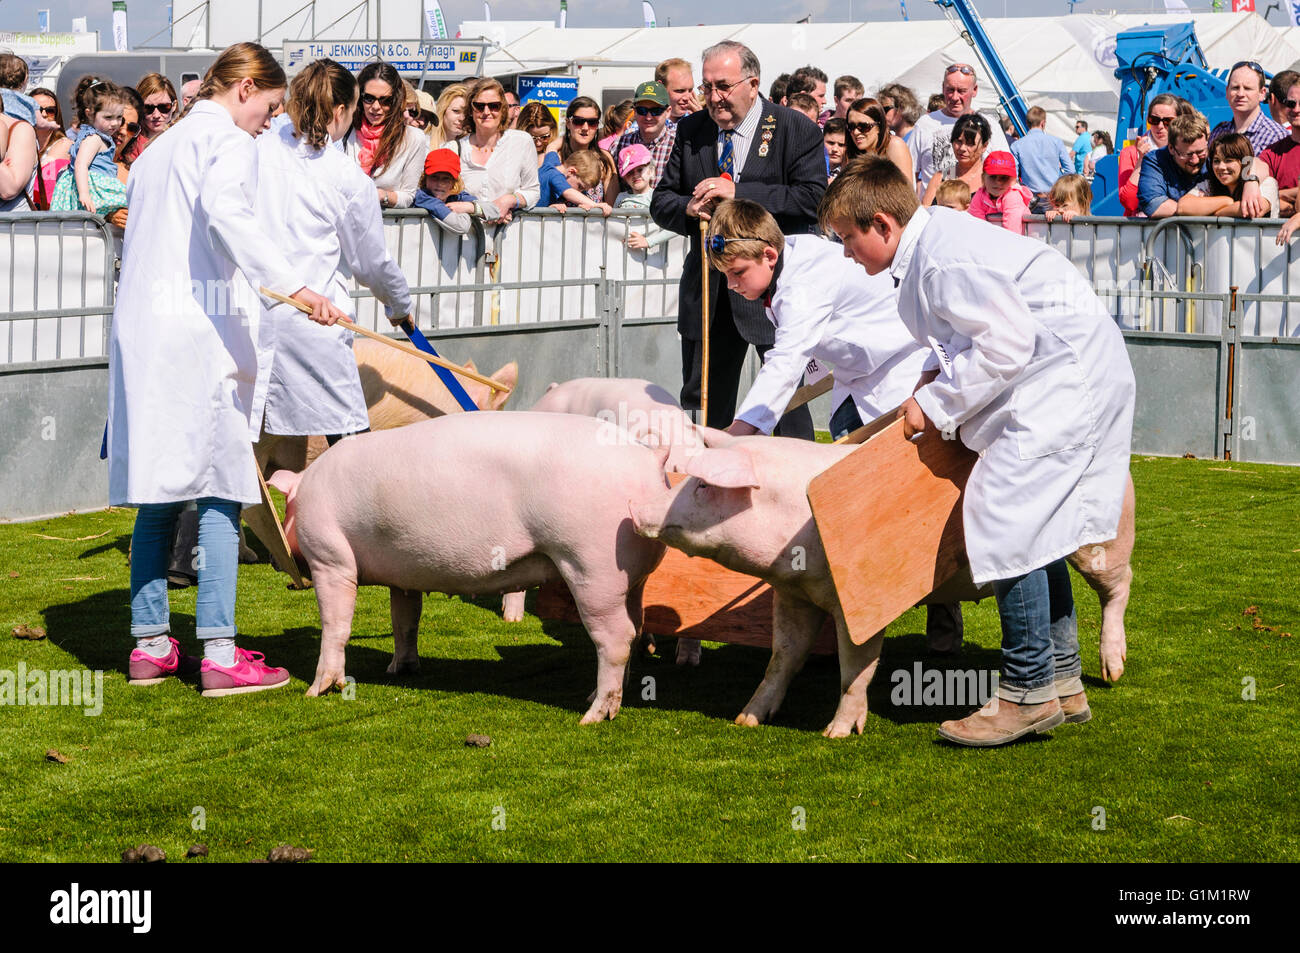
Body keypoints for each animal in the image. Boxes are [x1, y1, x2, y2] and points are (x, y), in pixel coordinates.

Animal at [269, 410, 665, 722]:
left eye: (286, 511)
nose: (273, 562)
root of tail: (648, 461)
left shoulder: (330, 558)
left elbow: (335, 625)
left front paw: (316, 691)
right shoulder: (404, 576)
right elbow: (404, 621)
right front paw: (399, 670)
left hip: (593, 567)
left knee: (616, 637)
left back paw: (593, 715)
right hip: (632, 579)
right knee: (635, 627)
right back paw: (600, 696)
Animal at [624, 426, 1133, 738]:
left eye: (702, 486)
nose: (636, 510)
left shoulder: (855, 606)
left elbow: (857, 666)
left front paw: (835, 733)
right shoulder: (793, 594)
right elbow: (782, 657)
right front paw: (746, 719)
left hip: (1104, 539)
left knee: (1119, 585)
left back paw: (1114, 672)